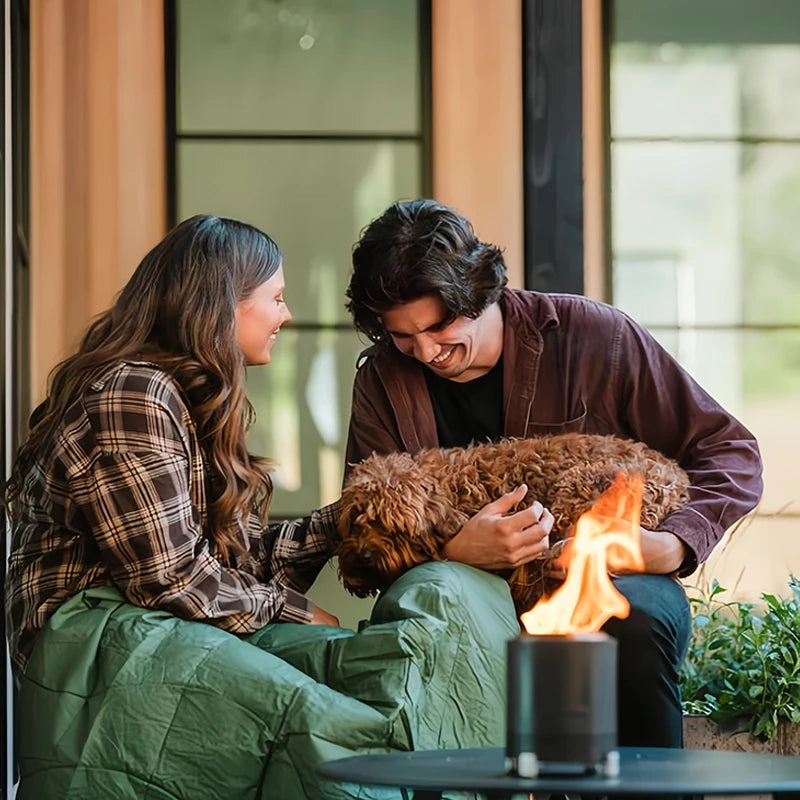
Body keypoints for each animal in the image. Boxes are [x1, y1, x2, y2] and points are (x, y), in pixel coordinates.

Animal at [336, 432, 688, 612]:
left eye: (394, 527)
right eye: (356, 520)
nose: (362, 557)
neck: (448, 489)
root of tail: (676, 478)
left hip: (580, 487)